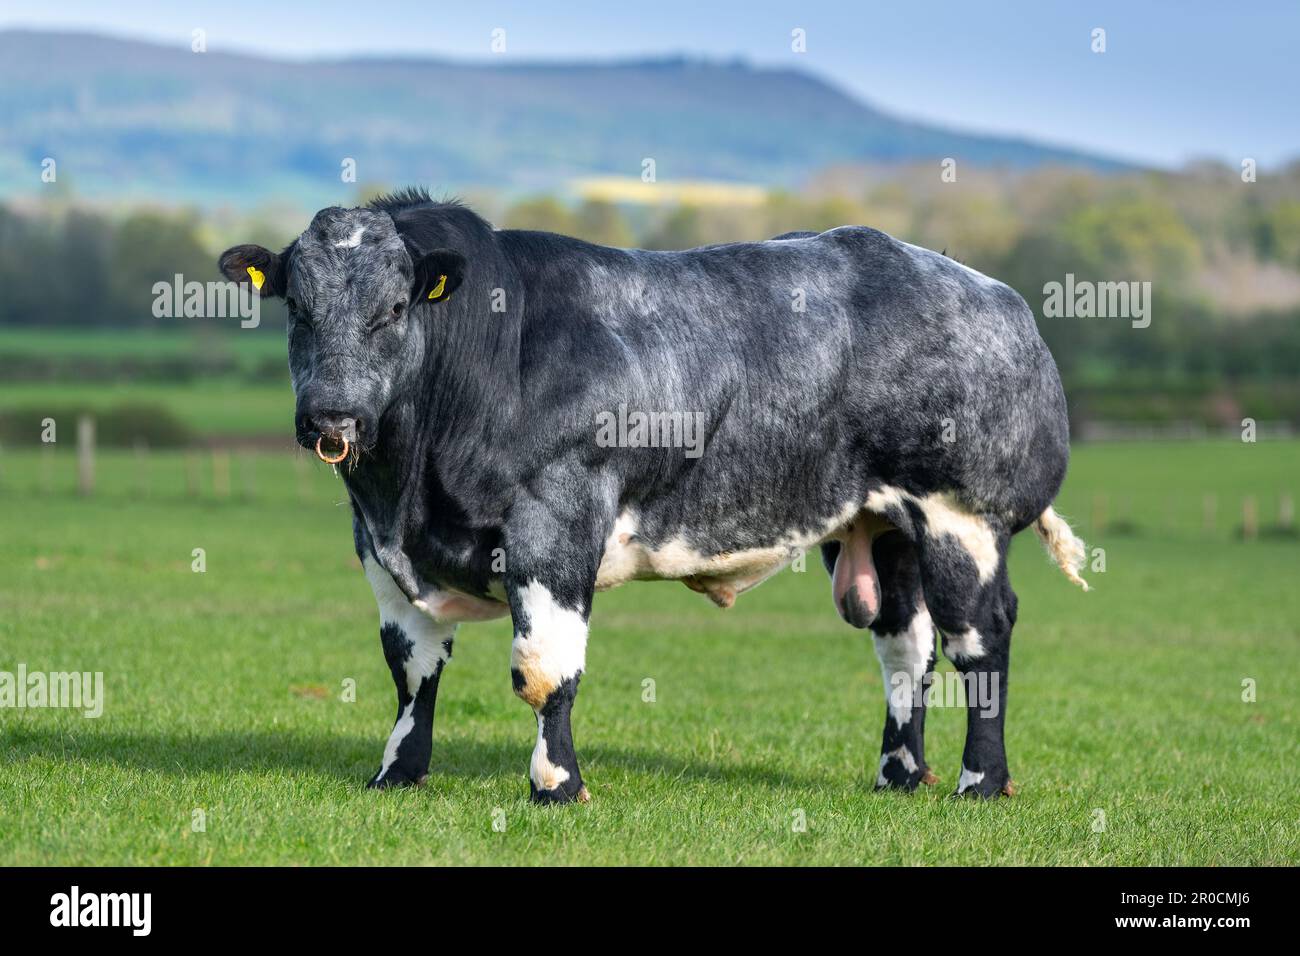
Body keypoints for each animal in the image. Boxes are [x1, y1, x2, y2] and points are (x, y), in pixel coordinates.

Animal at [220, 187, 1086, 801]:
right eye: (297, 307)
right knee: (905, 643)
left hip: (961, 517)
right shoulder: (382, 551)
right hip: (883, 522)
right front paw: (397, 773)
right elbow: (412, 668)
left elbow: (545, 669)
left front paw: (557, 785)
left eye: (395, 309)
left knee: (981, 638)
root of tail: (996, 298)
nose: (332, 416)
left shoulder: (555, 523)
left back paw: (981, 782)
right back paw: (899, 775)